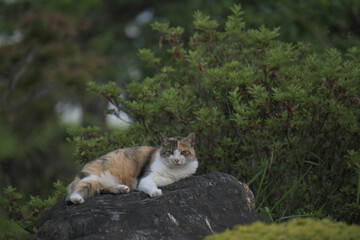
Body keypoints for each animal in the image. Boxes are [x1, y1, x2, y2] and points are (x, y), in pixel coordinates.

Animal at [66, 132, 198, 203]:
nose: (176, 159)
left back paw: (121, 189)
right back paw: (77, 199)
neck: (174, 170)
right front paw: (155, 191)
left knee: (101, 189)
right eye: (170, 152)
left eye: (184, 152)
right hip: (90, 178)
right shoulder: (144, 178)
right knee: (73, 193)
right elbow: (151, 183)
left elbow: (171, 179)